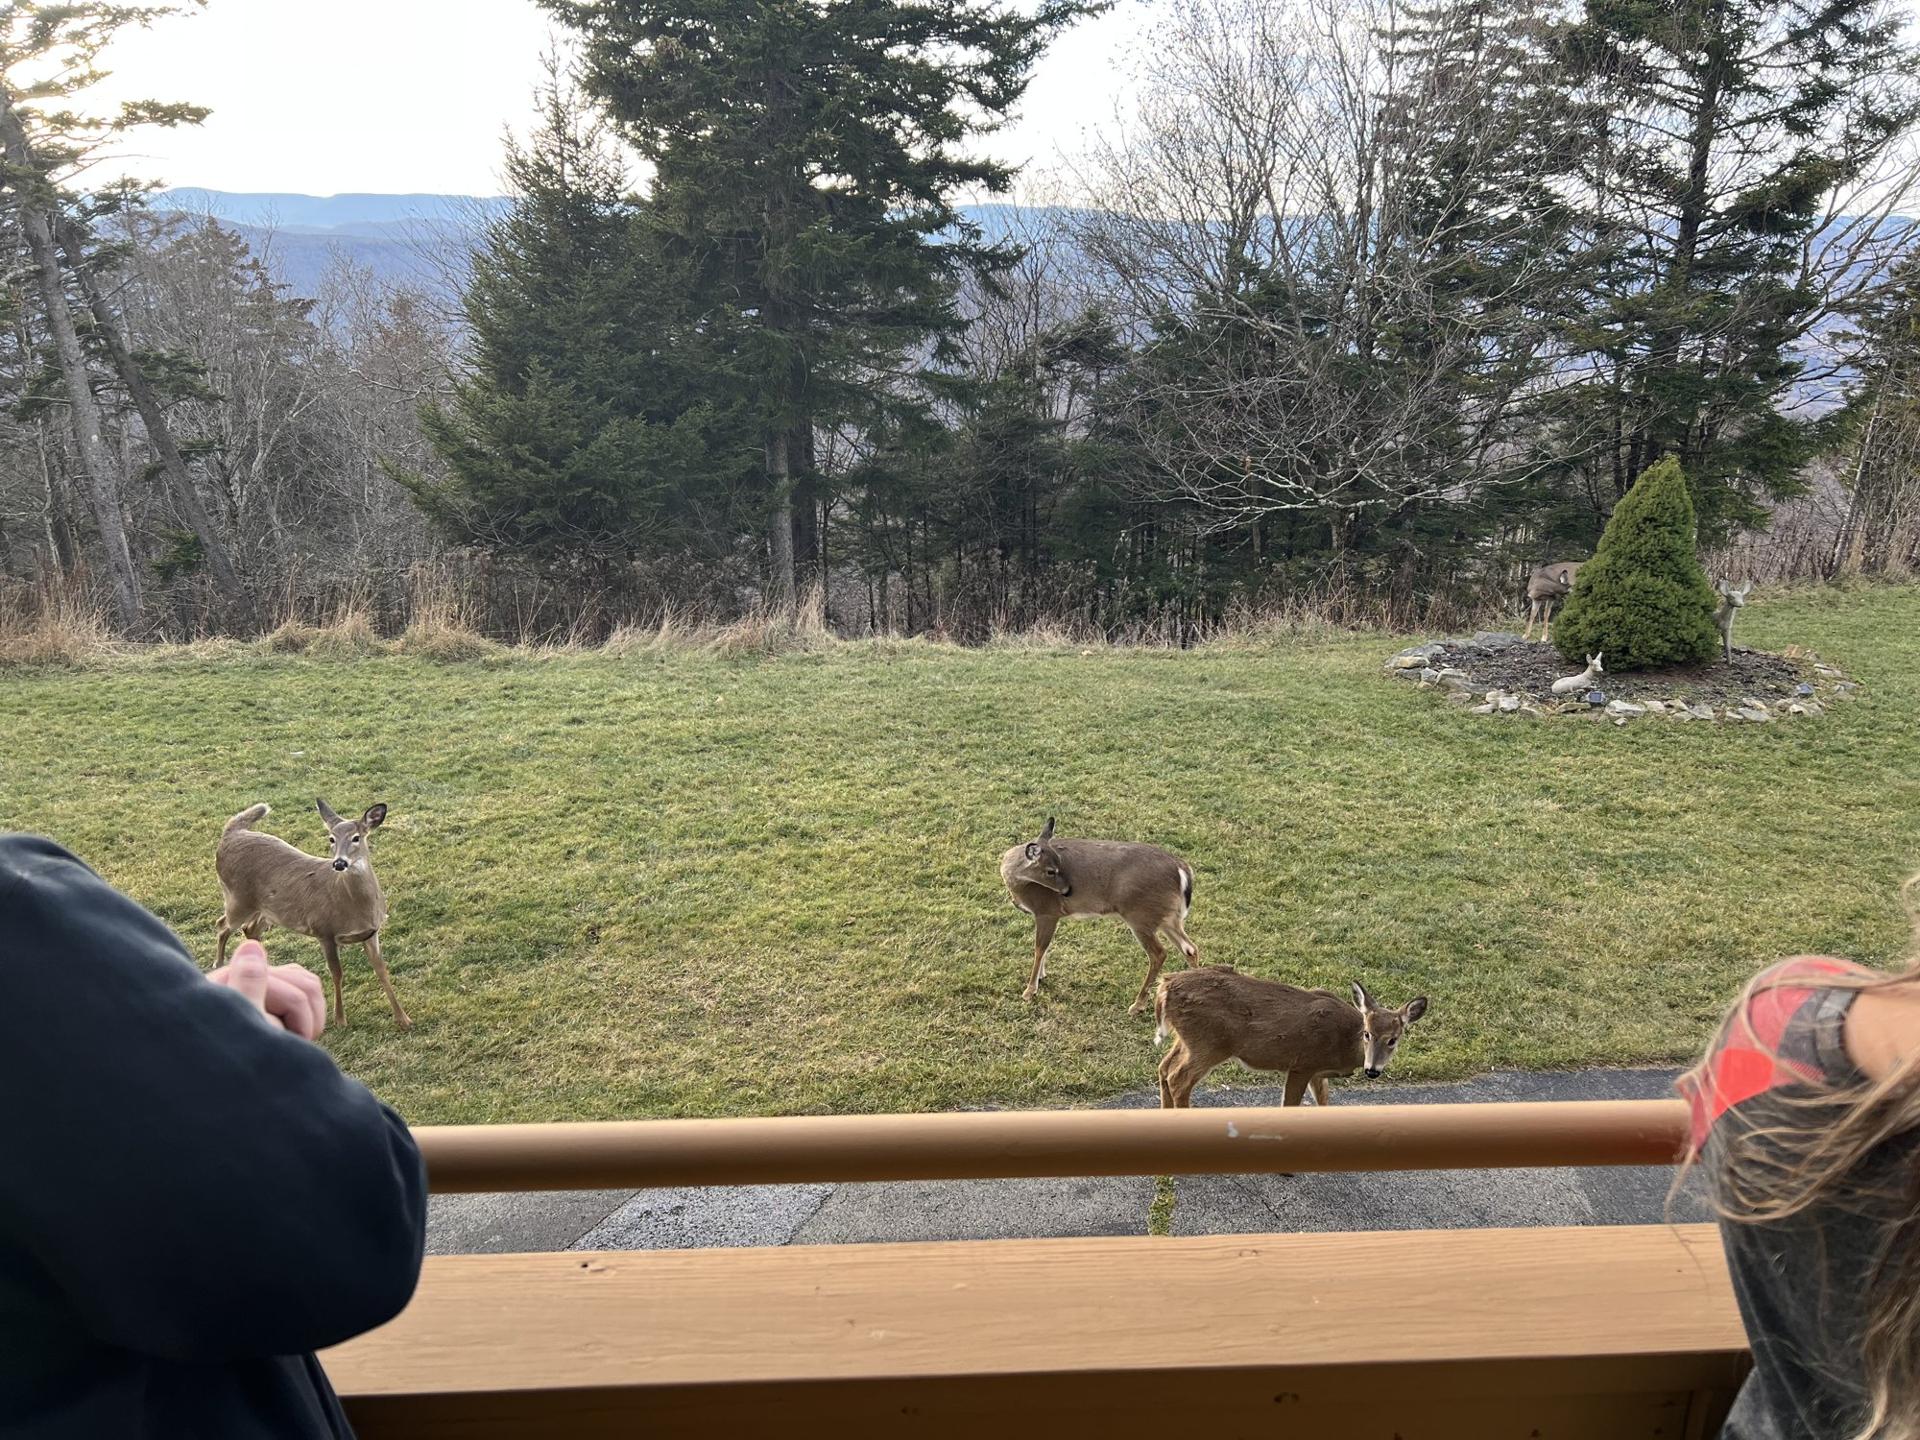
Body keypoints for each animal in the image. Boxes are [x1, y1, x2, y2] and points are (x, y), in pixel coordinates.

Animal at [216, 799, 412, 1031]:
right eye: (331, 838)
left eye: (356, 837)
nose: (339, 863)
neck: (355, 908)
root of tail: (231, 833)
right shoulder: (323, 930)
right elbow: (337, 973)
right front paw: (340, 1020)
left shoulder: (371, 932)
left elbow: (381, 969)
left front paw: (403, 1019)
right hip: (237, 900)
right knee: (222, 925)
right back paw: (219, 965)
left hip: (267, 910)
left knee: (249, 929)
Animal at [1001, 816, 1197, 1014]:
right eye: (1051, 870)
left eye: (1058, 865)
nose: (1068, 891)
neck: (1020, 886)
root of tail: (1182, 869)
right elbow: (1045, 948)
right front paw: (1041, 977)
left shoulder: (1047, 910)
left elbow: (1040, 948)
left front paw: (1029, 990)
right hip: (1167, 917)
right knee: (1190, 948)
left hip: (1141, 916)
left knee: (1159, 953)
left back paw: (1137, 1005)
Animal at [1154, 967, 1428, 1109]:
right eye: (1367, 1033)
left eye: (1393, 1039)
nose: (1372, 1070)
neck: (1345, 1044)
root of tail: (1165, 987)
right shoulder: (1303, 1063)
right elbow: (1290, 1104)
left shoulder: (1317, 1072)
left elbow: (1323, 1103)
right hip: (1210, 1043)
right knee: (1178, 1078)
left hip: (1187, 1040)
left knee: (1164, 1067)